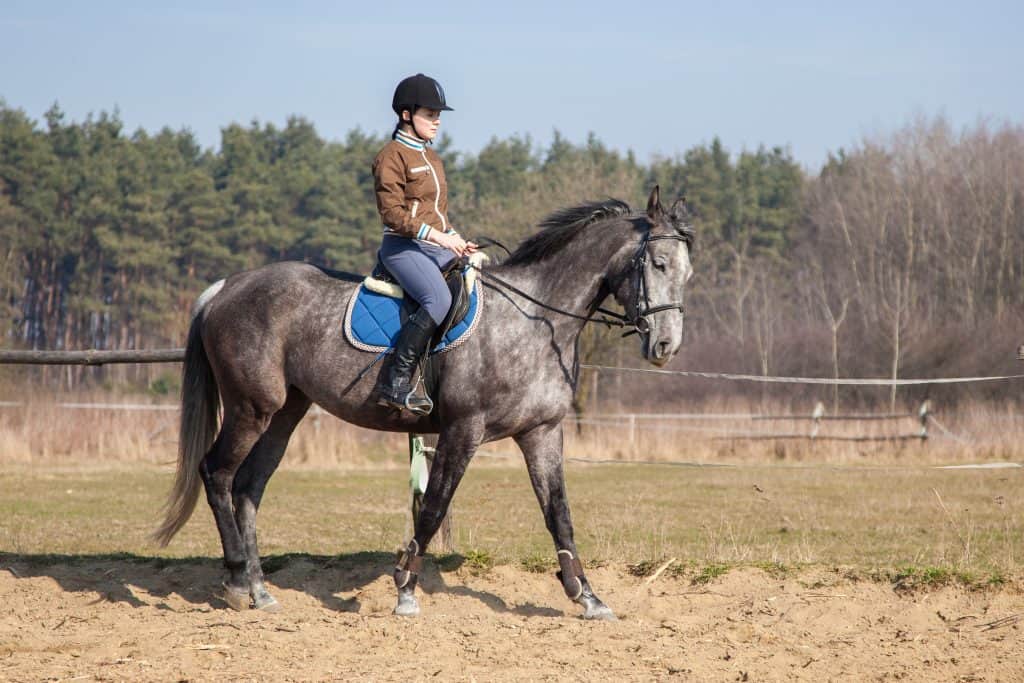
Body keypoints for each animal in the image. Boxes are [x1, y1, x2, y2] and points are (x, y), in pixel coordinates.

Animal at [153, 185, 696, 618]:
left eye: (687, 275)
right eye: (659, 264)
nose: (665, 347)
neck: (536, 321)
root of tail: (226, 288)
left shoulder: (541, 433)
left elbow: (558, 513)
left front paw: (587, 596)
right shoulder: (463, 430)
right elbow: (433, 508)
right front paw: (406, 589)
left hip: (285, 412)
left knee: (248, 487)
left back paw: (260, 590)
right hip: (251, 408)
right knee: (217, 474)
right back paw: (235, 581)